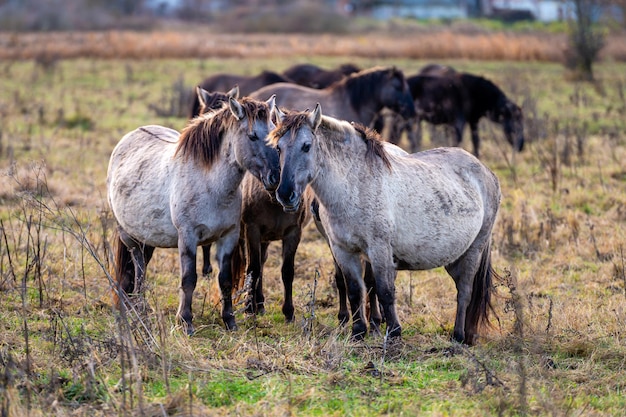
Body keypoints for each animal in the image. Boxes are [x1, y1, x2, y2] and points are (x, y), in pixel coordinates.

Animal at [107, 95, 278, 334]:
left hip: (148, 236)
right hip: (128, 235)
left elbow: (224, 280)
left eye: (273, 131)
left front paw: (229, 321)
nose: (276, 177)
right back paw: (139, 307)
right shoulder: (187, 236)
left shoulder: (229, 236)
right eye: (252, 136)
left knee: (141, 265)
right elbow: (189, 279)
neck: (210, 185)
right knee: (138, 266)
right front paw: (185, 321)